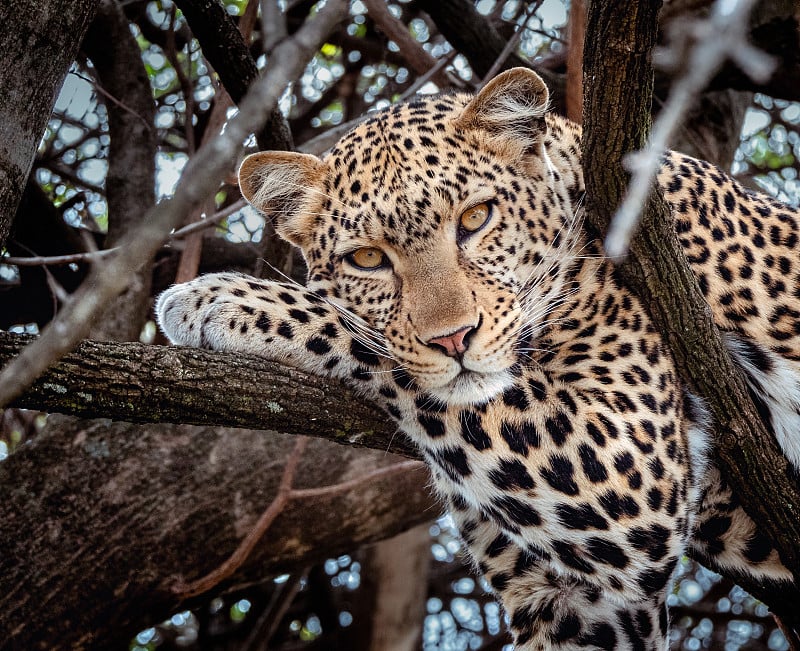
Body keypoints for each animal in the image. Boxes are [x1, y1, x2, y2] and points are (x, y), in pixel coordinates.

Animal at [158, 69, 800, 648]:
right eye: (367, 258)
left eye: (474, 219)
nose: (453, 339)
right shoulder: (578, 603)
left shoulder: (633, 467)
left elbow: (359, 333)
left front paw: (216, 298)